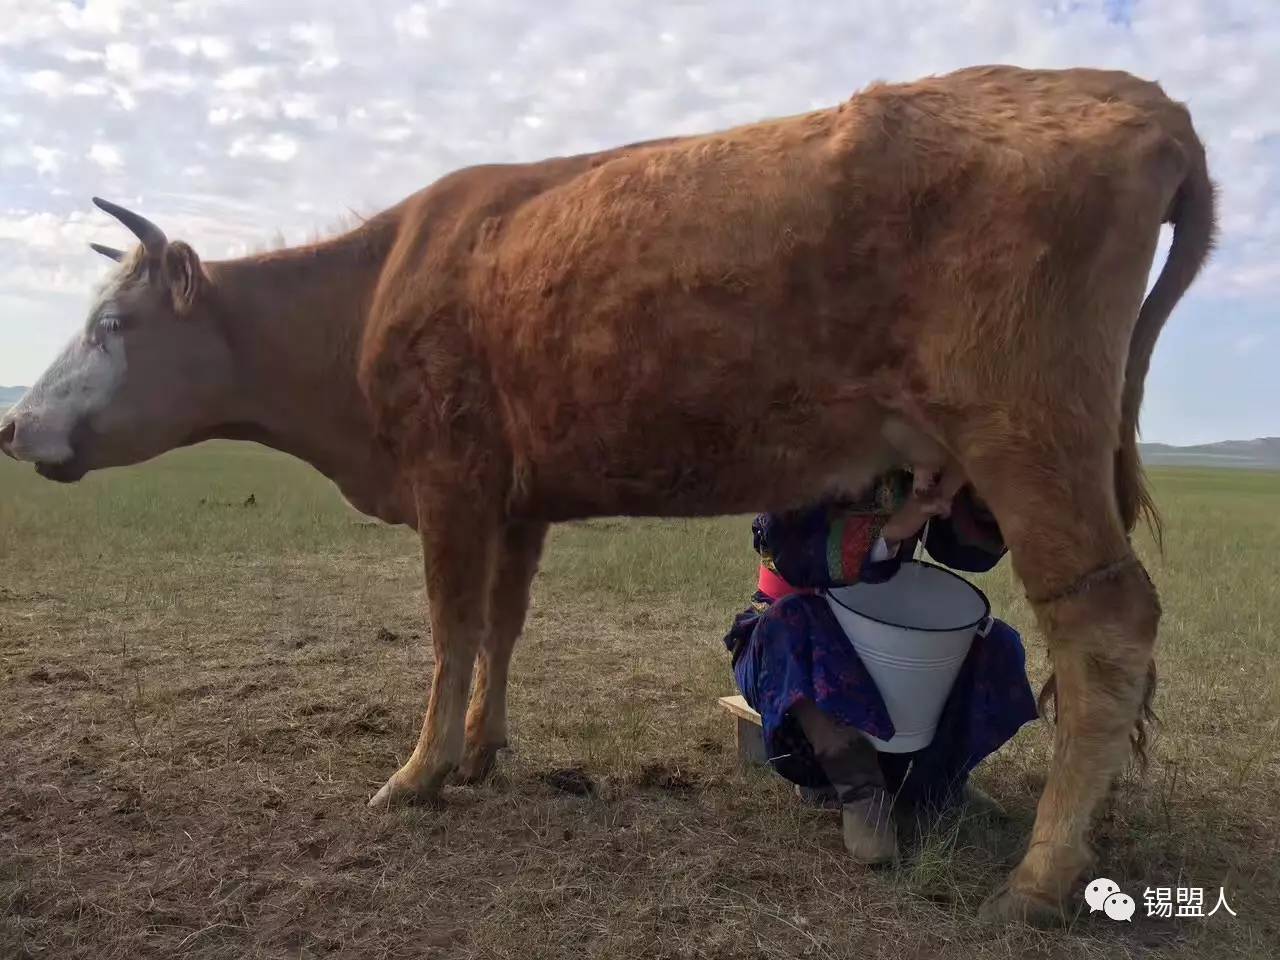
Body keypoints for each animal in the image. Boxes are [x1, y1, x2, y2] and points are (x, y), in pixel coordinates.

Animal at [5, 65, 1213, 926]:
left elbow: (448, 629)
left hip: (1027, 440)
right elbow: (500, 626)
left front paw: (417, 775)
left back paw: (1040, 880)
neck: (367, 297)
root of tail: (1136, 98)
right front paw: (482, 750)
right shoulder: (516, 498)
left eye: (112, 325)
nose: (14, 425)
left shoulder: (450, 479)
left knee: (1105, 624)